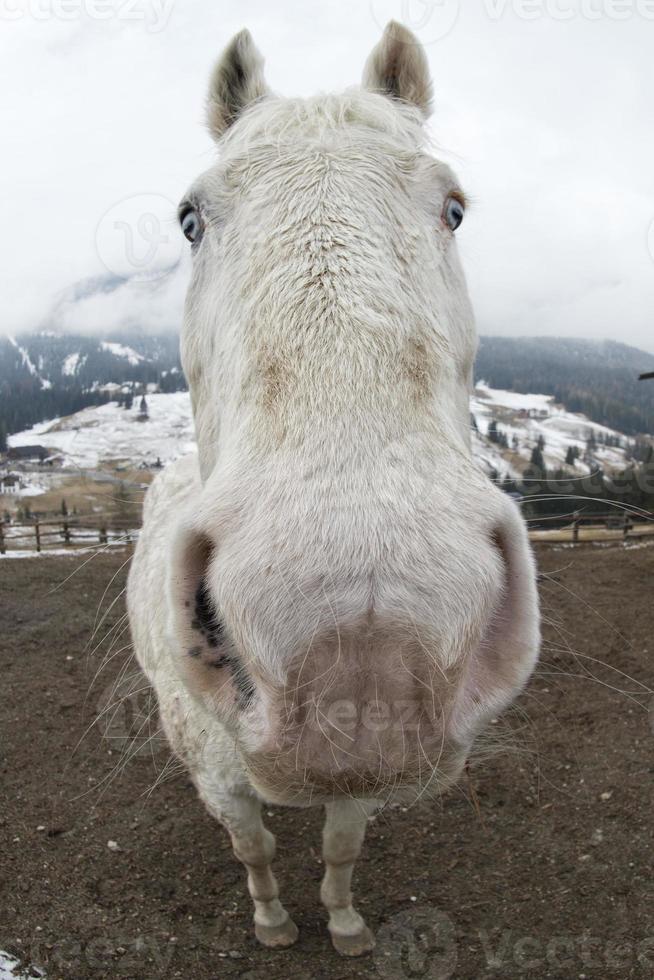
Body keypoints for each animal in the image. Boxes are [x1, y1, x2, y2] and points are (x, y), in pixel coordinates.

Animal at [127, 21, 540, 956]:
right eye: (189, 219)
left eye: (453, 208)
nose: (365, 655)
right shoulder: (223, 777)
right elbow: (254, 849)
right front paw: (274, 922)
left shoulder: (361, 774)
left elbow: (342, 848)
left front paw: (346, 925)